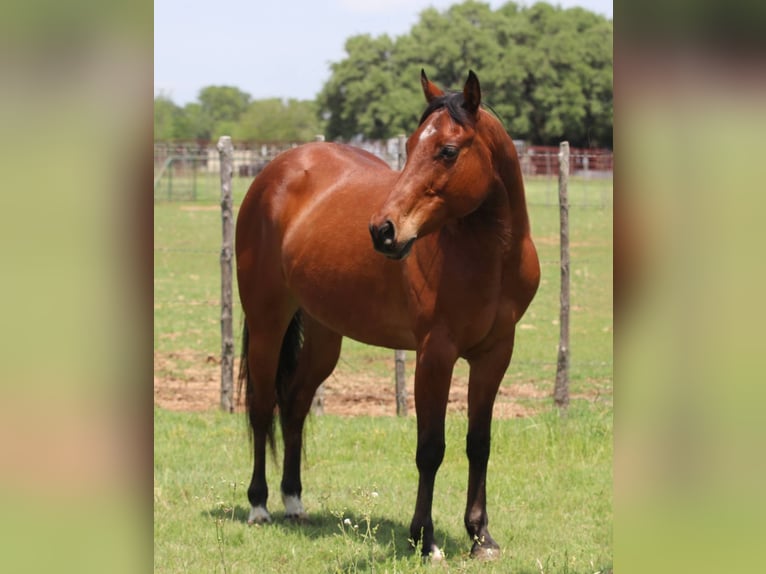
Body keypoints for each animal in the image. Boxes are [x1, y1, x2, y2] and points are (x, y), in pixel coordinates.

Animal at [235, 70, 540, 560]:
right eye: (411, 143)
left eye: (447, 150)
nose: (383, 231)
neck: (490, 257)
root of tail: (276, 169)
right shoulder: (434, 354)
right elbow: (430, 447)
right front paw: (424, 540)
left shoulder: (495, 354)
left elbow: (479, 443)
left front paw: (480, 537)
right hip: (267, 322)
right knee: (263, 407)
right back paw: (259, 506)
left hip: (324, 334)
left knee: (296, 404)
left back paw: (294, 501)